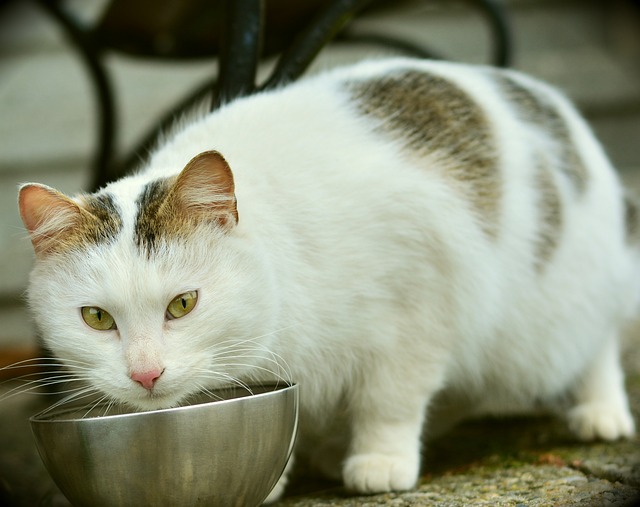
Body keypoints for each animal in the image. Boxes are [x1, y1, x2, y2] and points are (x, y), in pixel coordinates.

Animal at [18, 57, 636, 502]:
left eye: (183, 304)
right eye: (96, 318)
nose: (145, 374)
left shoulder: (421, 303)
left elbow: (391, 398)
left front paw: (380, 462)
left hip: (563, 308)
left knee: (595, 343)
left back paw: (601, 414)